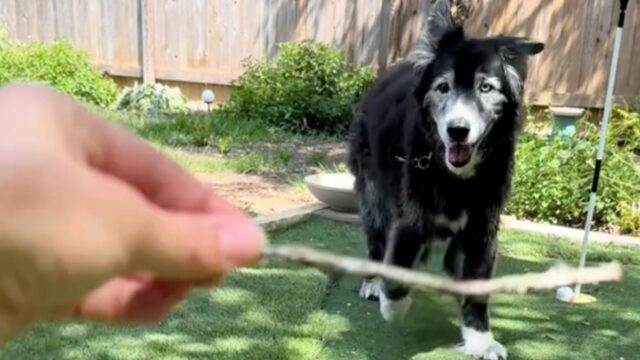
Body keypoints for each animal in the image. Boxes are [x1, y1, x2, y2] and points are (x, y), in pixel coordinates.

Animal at [348, 1, 544, 358]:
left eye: (485, 88)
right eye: (443, 88)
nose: (457, 130)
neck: (455, 178)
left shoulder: (482, 229)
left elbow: (477, 287)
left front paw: (480, 339)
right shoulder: (409, 221)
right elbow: (397, 272)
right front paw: (392, 305)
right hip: (373, 198)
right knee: (376, 241)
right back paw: (372, 283)